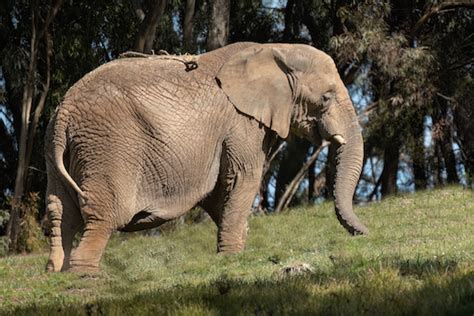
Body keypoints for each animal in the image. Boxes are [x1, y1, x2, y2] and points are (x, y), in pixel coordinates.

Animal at [44, 42, 368, 272]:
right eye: (325, 98)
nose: (365, 234)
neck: (274, 49)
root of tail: (65, 110)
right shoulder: (241, 122)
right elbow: (242, 177)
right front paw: (233, 258)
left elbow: (217, 193)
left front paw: (233, 250)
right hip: (108, 146)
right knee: (105, 213)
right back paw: (84, 274)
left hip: (59, 148)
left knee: (60, 210)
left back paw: (56, 271)